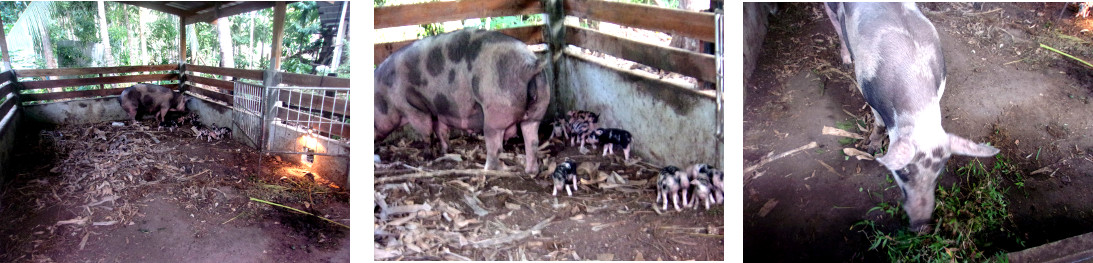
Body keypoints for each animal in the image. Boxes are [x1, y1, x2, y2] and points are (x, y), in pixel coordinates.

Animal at [375, 28, 550, 173]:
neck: (384, 93)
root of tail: (531, 64)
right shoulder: (439, 110)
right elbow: (441, 130)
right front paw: (446, 151)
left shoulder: (412, 108)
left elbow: (426, 132)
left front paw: (427, 156)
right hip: (538, 109)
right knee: (532, 141)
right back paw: (530, 172)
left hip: (496, 111)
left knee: (495, 146)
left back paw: (490, 169)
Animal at [826, 2, 1001, 232]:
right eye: (903, 173)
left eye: (939, 172)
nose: (921, 225)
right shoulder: (869, 94)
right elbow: (879, 125)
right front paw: (871, 150)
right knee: (837, 27)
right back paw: (846, 61)